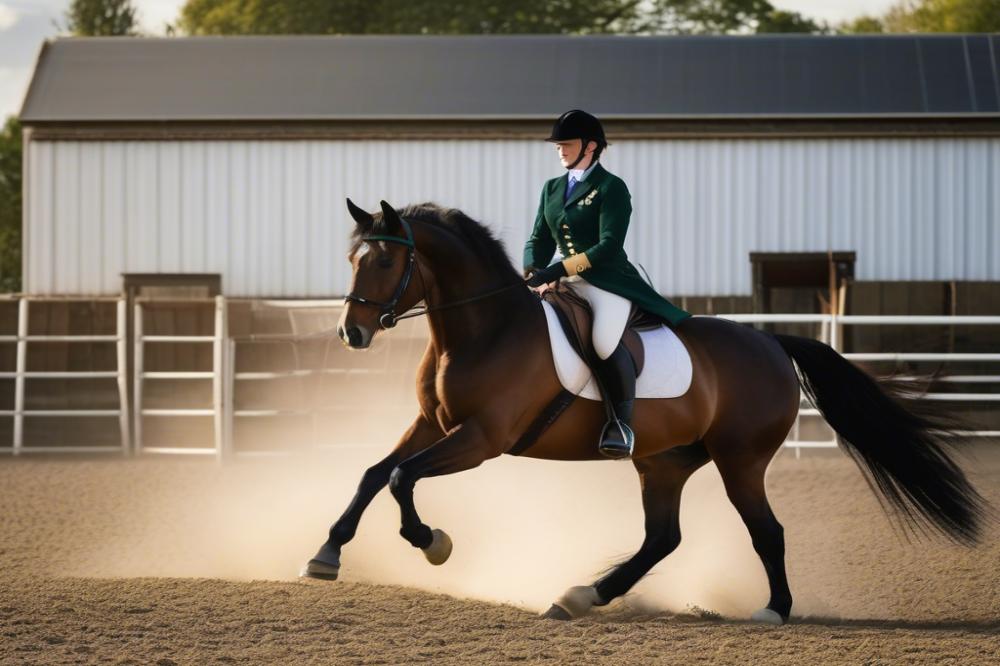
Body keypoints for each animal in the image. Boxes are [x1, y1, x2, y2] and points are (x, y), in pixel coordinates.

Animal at [302, 197, 984, 624]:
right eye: (352, 259)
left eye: (384, 259)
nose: (350, 334)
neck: (483, 329)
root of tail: (769, 341)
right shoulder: (432, 424)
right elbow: (374, 473)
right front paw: (327, 554)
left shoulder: (482, 438)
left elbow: (401, 477)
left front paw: (432, 543)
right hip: (665, 462)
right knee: (663, 538)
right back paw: (579, 597)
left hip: (740, 460)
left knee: (765, 531)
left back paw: (774, 609)